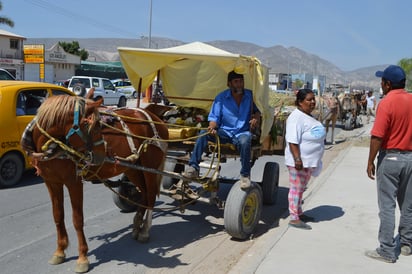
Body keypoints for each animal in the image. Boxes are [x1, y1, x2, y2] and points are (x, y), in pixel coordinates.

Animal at [20, 95, 169, 272]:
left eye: (99, 126)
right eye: (92, 126)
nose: (101, 155)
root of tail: (155, 117)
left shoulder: (74, 183)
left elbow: (77, 220)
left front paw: (82, 258)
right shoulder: (51, 182)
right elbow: (57, 216)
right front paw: (60, 251)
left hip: (150, 167)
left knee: (151, 195)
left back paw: (145, 230)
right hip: (132, 167)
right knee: (144, 193)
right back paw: (137, 225)